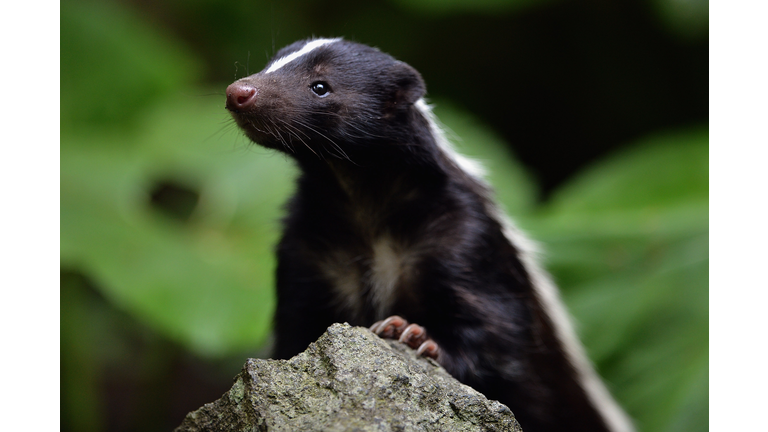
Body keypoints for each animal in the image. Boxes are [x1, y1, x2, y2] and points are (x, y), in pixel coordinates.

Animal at [225, 38, 632, 432]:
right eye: (270, 65)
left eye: (320, 86)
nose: (239, 90)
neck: (361, 201)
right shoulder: (307, 248)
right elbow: (296, 330)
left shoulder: (466, 238)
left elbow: (497, 334)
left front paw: (415, 336)